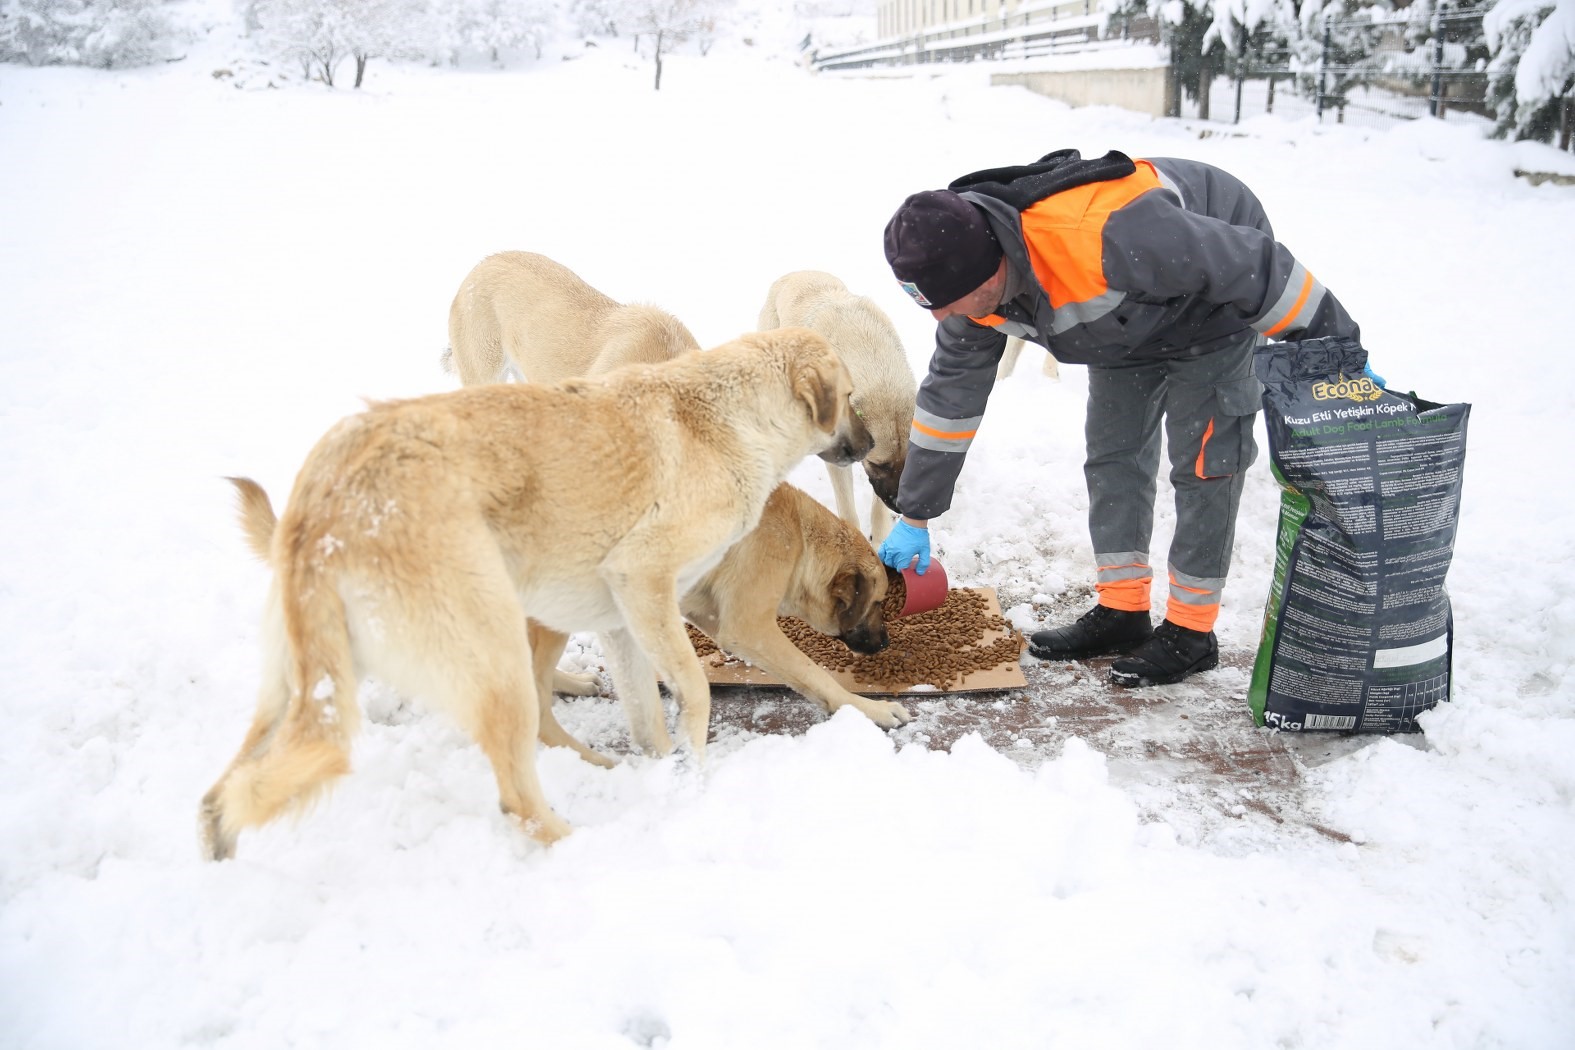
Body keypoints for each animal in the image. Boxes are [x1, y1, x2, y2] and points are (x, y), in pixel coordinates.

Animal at [200, 330, 875, 862]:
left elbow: (648, 717)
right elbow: (703, 691)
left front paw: (662, 781)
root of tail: (325, 500)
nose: (871, 446)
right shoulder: (651, 585)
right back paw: (578, 841)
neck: (731, 418)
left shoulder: (625, 617)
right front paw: (693, 777)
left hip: (302, 682)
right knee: (517, 788)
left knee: (230, 785)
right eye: (849, 398)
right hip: (495, 648)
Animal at [756, 270, 919, 547]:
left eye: (907, 462)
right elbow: (849, 511)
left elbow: (877, 509)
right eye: (879, 465)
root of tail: (792, 275)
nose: (899, 506)